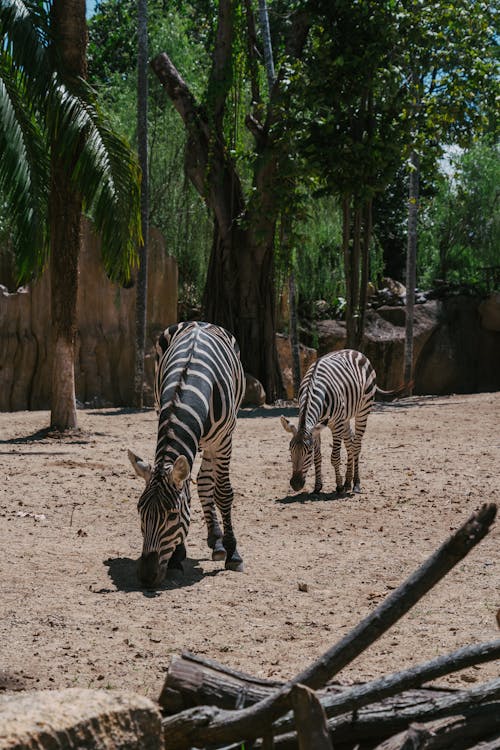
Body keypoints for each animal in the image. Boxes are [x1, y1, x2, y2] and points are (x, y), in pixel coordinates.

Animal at [128, 320, 245, 592]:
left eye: (172, 515)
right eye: (140, 511)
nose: (146, 578)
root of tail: (199, 322)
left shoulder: (224, 441)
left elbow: (223, 493)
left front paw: (233, 554)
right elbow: (188, 493)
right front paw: (177, 556)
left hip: (215, 443)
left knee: (207, 482)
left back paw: (221, 545)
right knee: (202, 482)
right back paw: (215, 541)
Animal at [280, 350, 376, 496]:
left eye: (308, 451)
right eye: (290, 449)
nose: (296, 484)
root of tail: (354, 351)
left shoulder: (335, 425)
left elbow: (335, 457)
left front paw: (339, 486)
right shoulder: (317, 427)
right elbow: (318, 457)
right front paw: (317, 487)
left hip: (363, 410)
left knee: (356, 445)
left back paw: (356, 484)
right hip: (345, 418)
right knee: (350, 443)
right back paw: (348, 482)